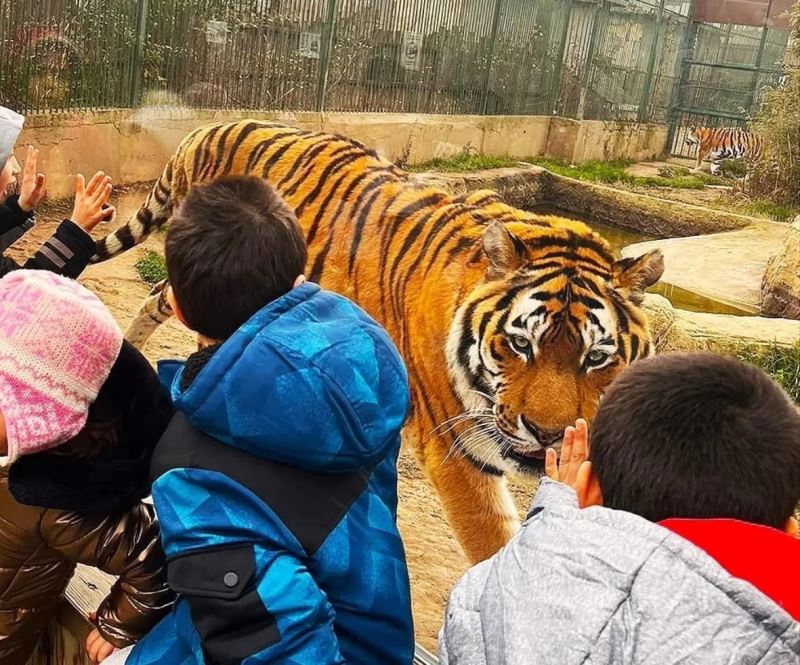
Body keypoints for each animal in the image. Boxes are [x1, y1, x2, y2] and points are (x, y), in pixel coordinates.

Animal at [90, 119, 664, 560]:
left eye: (596, 357)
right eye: (521, 345)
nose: (548, 436)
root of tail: (208, 126)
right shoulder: (460, 450)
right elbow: (495, 548)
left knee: (160, 298)